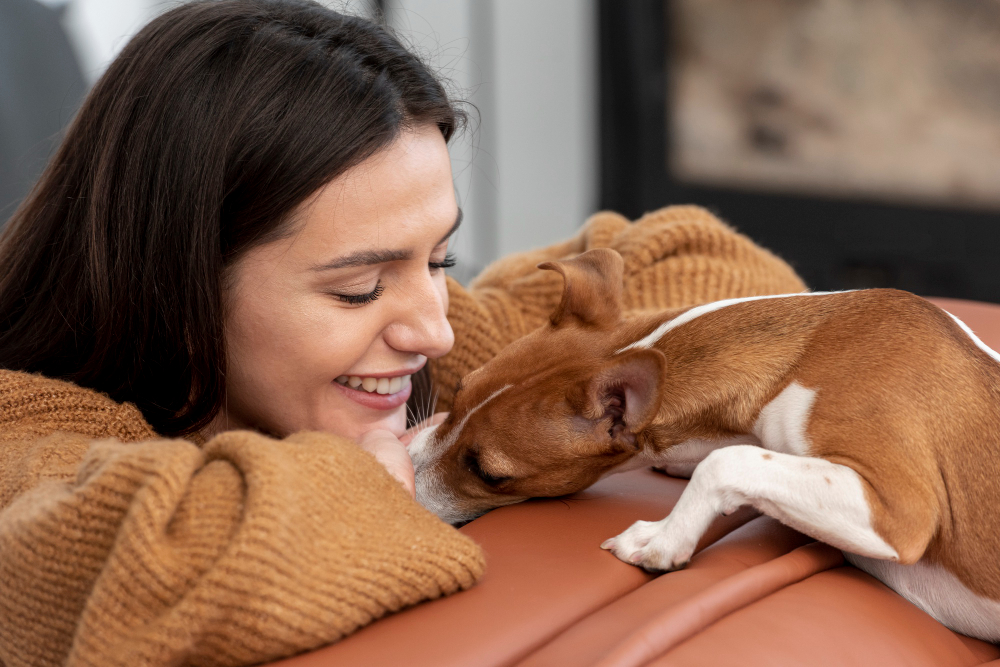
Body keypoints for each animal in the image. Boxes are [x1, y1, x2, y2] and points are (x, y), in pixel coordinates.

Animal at [408, 248, 1000, 640]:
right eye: (457, 396)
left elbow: (726, 460)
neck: (804, 351)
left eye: (488, 473)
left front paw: (664, 536)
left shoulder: (900, 510)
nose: (399, 475)